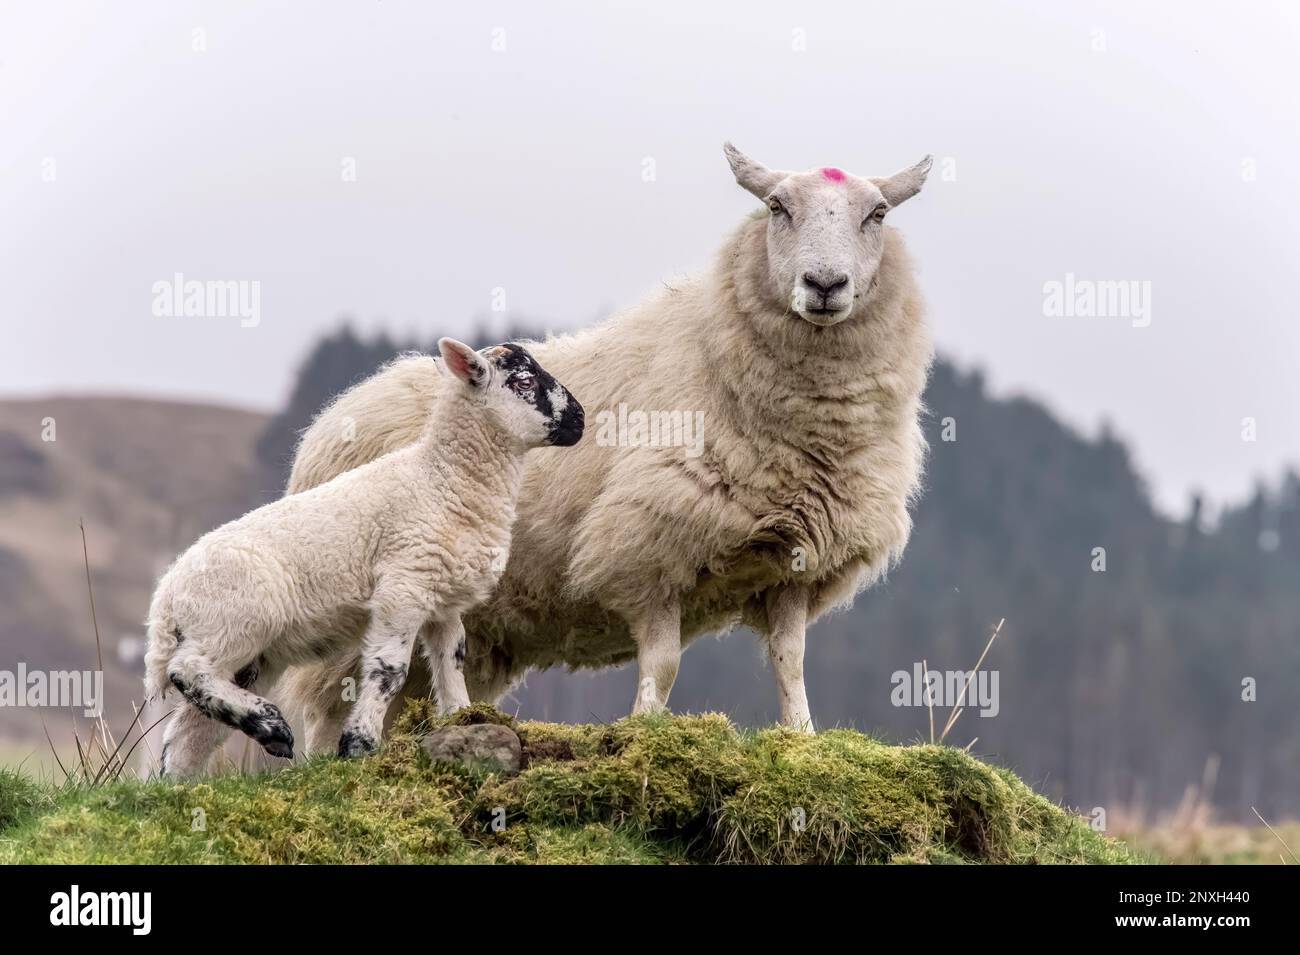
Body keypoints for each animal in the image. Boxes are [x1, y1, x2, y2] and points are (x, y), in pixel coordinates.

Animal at [139, 337, 582, 779]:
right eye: (524, 381)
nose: (579, 420)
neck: (443, 479)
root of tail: (167, 595)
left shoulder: (444, 599)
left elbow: (452, 660)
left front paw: (463, 718)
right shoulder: (403, 587)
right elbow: (390, 670)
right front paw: (359, 744)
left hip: (249, 653)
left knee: (189, 731)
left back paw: (192, 776)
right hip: (235, 621)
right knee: (187, 671)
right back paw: (273, 725)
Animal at [282, 145, 935, 743]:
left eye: (877, 213)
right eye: (777, 206)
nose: (824, 284)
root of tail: (330, 421)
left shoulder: (795, 561)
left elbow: (790, 664)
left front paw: (802, 738)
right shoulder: (648, 545)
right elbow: (663, 664)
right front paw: (644, 731)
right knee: (327, 706)